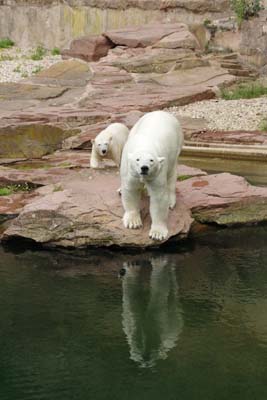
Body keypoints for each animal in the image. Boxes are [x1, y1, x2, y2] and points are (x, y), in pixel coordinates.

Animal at [121, 109, 184, 241]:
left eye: (151, 160)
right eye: (137, 159)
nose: (144, 168)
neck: (145, 146)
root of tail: (161, 111)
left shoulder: (158, 172)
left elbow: (159, 198)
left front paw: (157, 233)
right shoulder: (130, 171)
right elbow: (131, 190)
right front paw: (133, 222)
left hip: (177, 145)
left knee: (171, 176)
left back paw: (171, 201)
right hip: (134, 128)